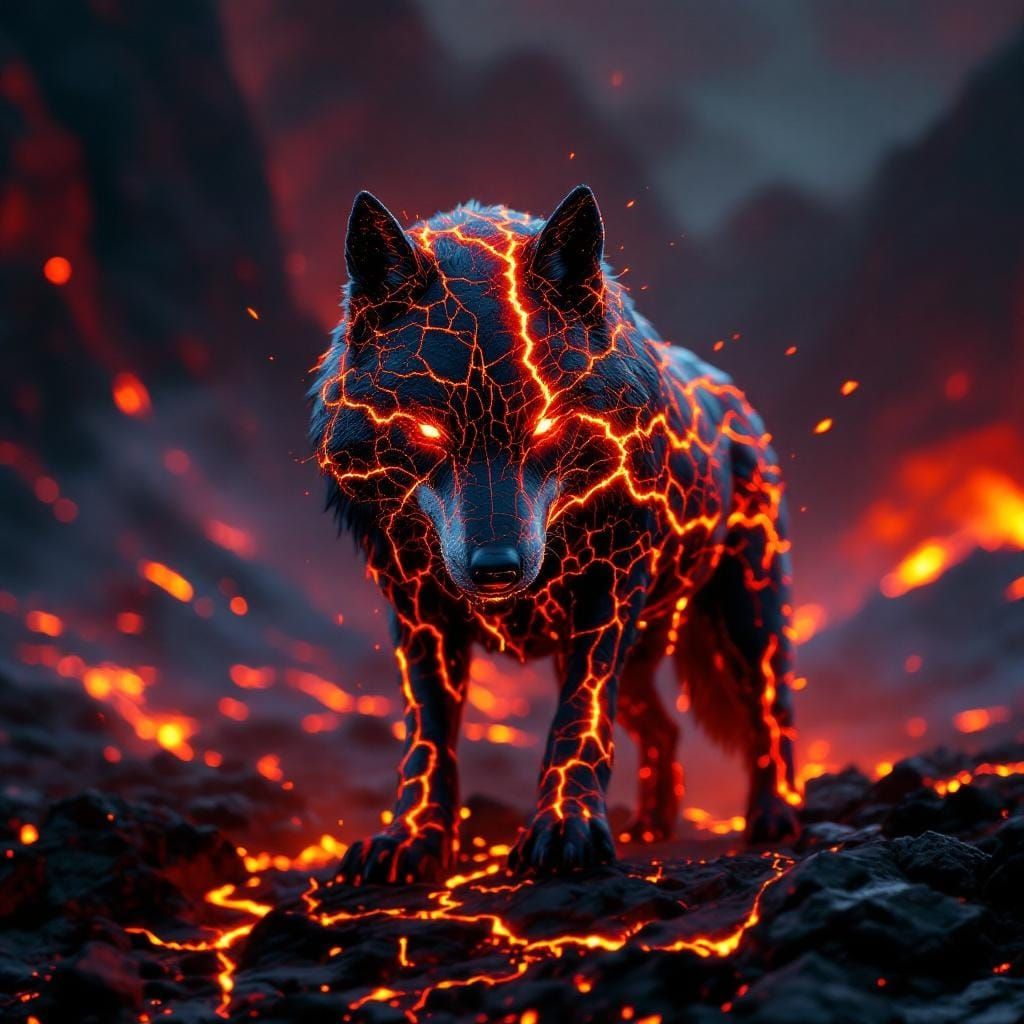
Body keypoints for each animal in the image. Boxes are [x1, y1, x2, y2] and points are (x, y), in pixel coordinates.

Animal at [310, 185, 800, 882]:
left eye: (544, 423)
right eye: (429, 430)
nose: (496, 567)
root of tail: (733, 397)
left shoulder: (608, 593)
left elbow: (577, 716)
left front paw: (564, 829)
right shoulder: (419, 612)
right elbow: (427, 734)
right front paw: (411, 840)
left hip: (748, 621)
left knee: (771, 711)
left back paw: (775, 818)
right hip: (646, 656)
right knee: (664, 729)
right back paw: (651, 826)